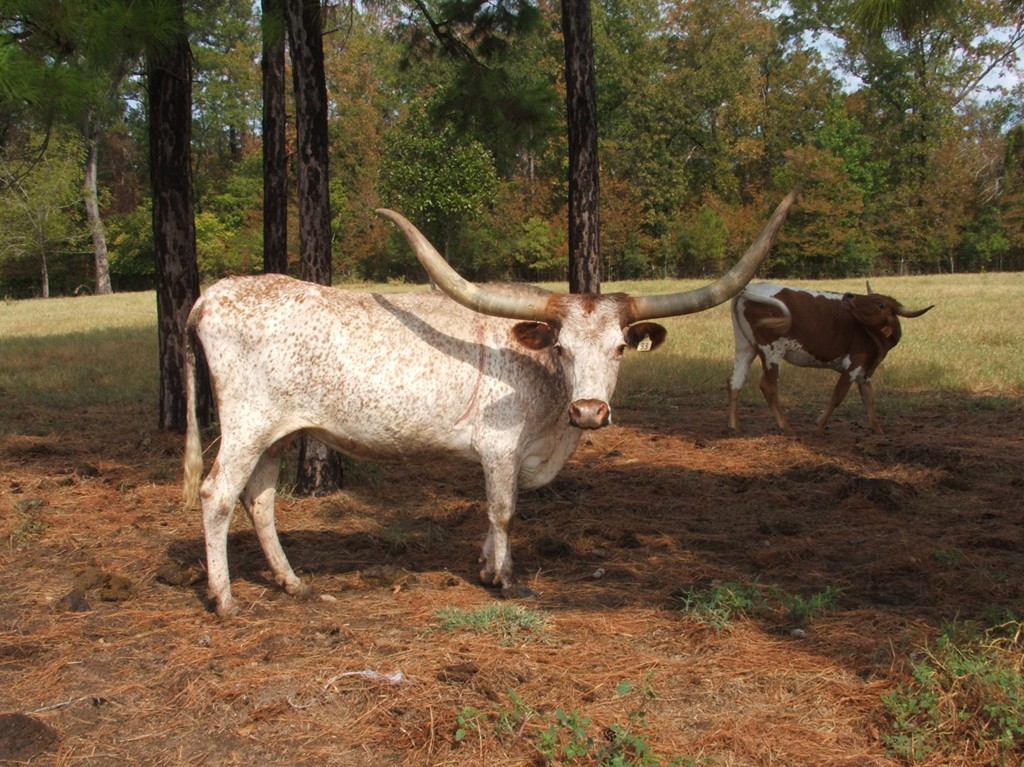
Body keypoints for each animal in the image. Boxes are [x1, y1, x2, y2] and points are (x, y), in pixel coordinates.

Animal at [183, 191, 796, 618]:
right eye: (562, 346)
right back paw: (225, 599)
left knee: (259, 499)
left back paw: (293, 583)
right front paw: (503, 579)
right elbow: (502, 510)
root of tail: (211, 295)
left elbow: (500, 509)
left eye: (620, 347)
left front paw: (485, 566)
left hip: (277, 432)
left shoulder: (515, 455)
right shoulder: (499, 447)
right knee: (217, 495)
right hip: (246, 424)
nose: (590, 412)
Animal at [727, 281, 934, 436]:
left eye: (880, 304)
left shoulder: (864, 373)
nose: (849, 296)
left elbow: (869, 398)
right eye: (872, 298)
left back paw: (734, 427)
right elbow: (838, 396)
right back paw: (787, 427)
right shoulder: (853, 365)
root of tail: (748, 289)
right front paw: (819, 425)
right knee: (768, 386)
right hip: (772, 351)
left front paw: (878, 429)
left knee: (735, 382)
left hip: (746, 347)